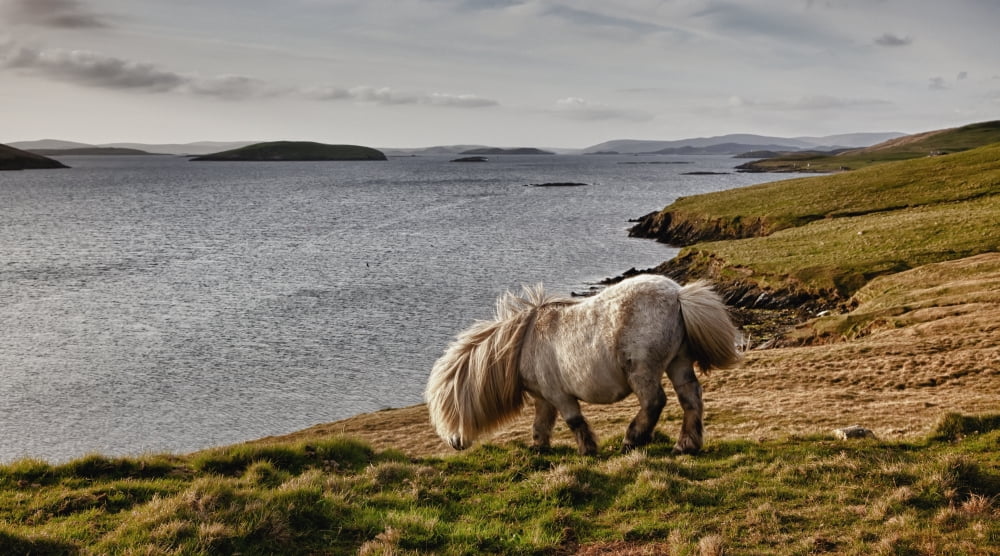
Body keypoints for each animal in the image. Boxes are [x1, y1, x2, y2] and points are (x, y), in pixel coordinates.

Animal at [424, 274, 742, 456]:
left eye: (448, 409)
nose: (453, 442)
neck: (523, 343)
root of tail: (678, 294)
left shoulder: (559, 395)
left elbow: (573, 421)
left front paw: (587, 450)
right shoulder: (544, 398)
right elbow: (541, 424)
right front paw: (538, 450)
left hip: (642, 370)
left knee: (654, 402)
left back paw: (632, 440)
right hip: (678, 362)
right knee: (691, 399)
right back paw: (685, 445)